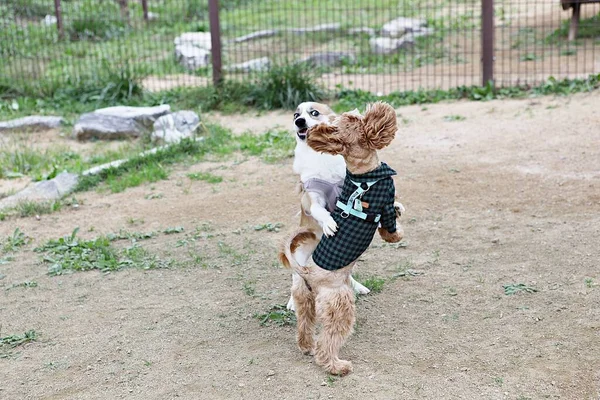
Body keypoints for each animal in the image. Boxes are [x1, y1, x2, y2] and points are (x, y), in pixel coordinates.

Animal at [280, 102, 404, 376]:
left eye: (314, 113)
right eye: (354, 119)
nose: (299, 122)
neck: (362, 176)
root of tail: (308, 272)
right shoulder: (383, 208)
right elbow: (390, 227)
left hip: (308, 301)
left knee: (304, 327)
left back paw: (307, 346)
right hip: (339, 303)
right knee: (328, 340)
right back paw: (337, 366)